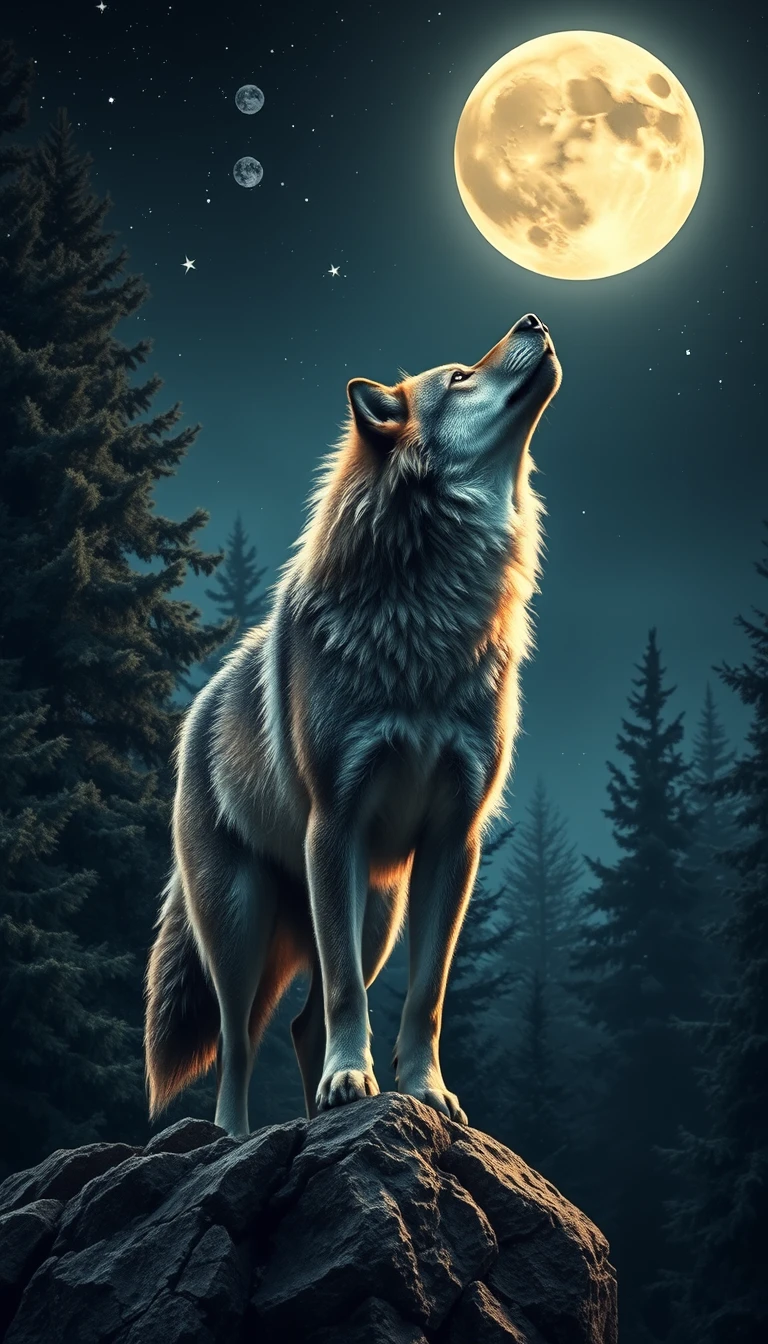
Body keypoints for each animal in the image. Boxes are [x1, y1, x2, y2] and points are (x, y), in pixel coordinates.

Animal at [144, 312, 561, 1136]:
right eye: (460, 376)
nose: (533, 319)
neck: (430, 621)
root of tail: (197, 712)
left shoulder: (454, 838)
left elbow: (426, 997)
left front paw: (426, 1092)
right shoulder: (334, 825)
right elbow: (344, 993)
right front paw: (352, 1080)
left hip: (377, 912)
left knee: (303, 1024)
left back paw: (325, 1107)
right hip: (240, 922)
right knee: (239, 1040)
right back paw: (233, 1135)